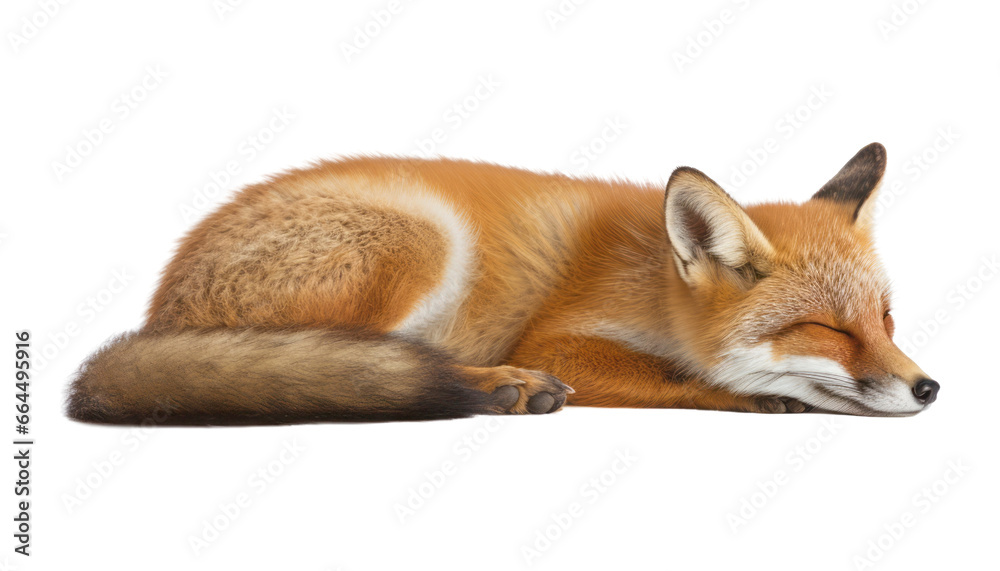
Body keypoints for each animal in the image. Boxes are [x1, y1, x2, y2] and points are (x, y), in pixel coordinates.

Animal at [66, 142, 939, 425]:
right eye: (828, 329)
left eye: (887, 319)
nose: (928, 387)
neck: (656, 282)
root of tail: (162, 307)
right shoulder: (558, 336)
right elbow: (676, 375)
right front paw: (756, 394)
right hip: (420, 243)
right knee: (355, 366)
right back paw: (494, 384)